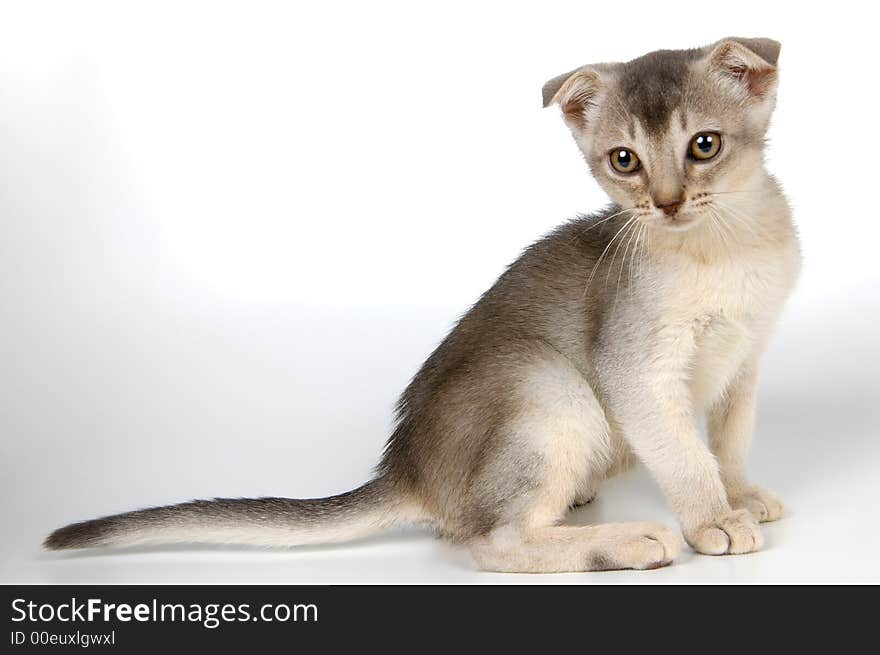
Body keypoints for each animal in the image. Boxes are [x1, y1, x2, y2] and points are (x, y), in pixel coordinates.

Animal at [44, 38, 800, 576]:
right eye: (624, 160)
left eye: (704, 144)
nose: (666, 203)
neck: (725, 250)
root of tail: (406, 467)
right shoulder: (635, 370)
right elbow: (684, 455)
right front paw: (712, 520)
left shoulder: (748, 358)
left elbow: (728, 441)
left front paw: (740, 494)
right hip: (548, 383)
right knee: (492, 540)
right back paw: (626, 541)